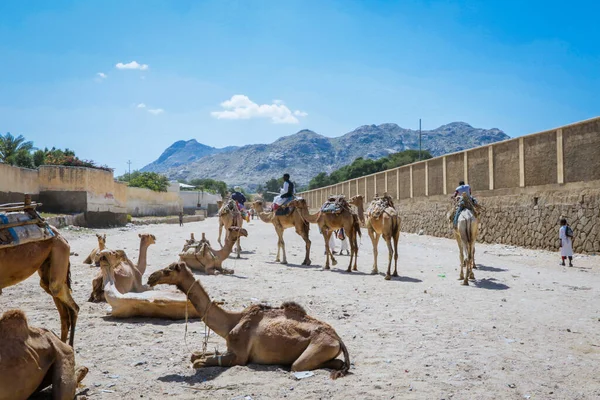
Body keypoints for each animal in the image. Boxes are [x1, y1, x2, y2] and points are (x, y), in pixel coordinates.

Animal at [146, 262, 352, 378]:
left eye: (167, 271)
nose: (150, 277)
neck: (232, 320)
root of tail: (338, 338)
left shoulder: (239, 356)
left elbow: (199, 362)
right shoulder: (230, 347)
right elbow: (195, 355)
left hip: (320, 346)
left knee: (300, 365)